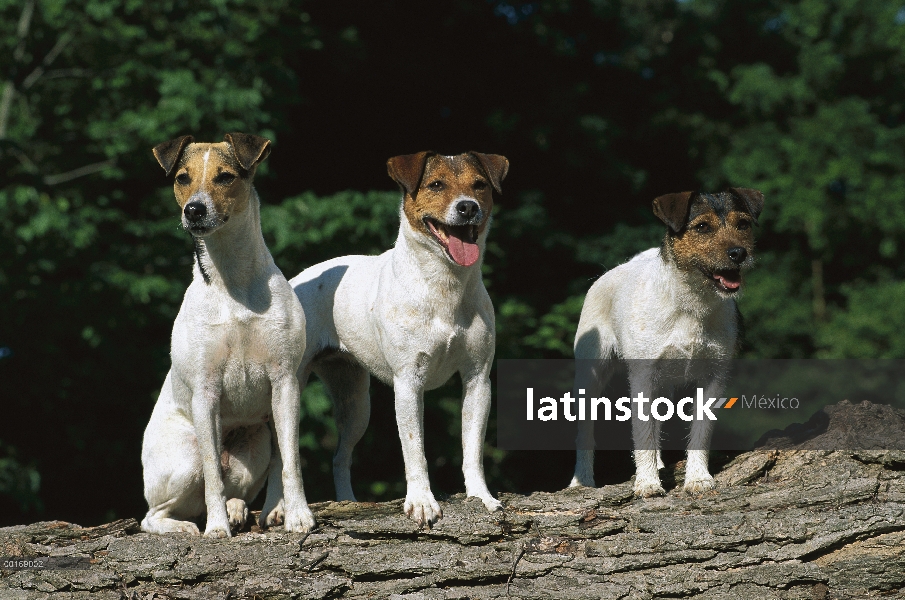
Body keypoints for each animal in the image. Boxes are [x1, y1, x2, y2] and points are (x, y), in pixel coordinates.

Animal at [139, 134, 314, 536]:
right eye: (183, 178)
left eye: (225, 176)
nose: (194, 210)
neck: (232, 281)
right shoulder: (205, 392)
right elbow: (212, 478)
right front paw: (216, 528)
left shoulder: (285, 382)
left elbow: (291, 461)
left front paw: (297, 515)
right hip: (185, 457)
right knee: (154, 514)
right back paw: (188, 526)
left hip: (256, 444)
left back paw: (245, 508)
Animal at [292, 152, 508, 528]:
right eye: (436, 184)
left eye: (480, 185)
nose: (468, 207)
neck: (443, 287)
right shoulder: (409, 382)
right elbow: (414, 449)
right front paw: (422, 502)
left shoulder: (478, 379)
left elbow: (472, 446)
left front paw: (480, 496)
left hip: (356, 403)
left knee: (340, 456)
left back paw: (347, 501)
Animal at [572, 188, 764, 496]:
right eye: (702, 227)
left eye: (743, 224)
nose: (739, 253)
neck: (691, 304)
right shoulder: (643, 376)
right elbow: (643, 434)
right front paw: (647, 483)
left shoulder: (714, 378)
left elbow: (700, 432)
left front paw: (698, 478)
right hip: (591, 375)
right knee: (586, 432)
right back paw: (582, 481)